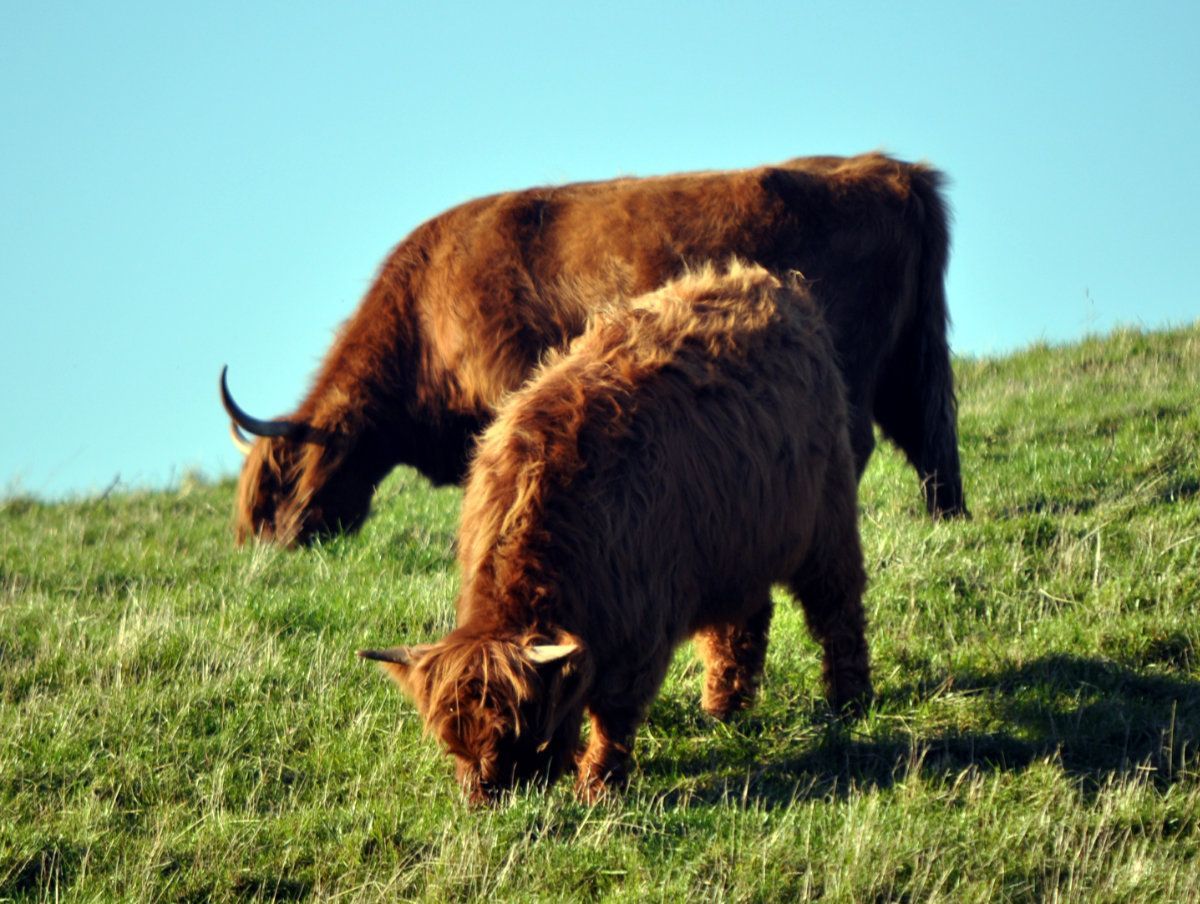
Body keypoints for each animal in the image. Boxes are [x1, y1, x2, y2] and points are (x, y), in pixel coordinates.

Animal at [222, 152, 967, 546]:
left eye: (279, 481)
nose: (265, 543)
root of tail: (893, 171)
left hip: (857, 367)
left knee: (864, 439)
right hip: (911, 359)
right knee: (931, 435)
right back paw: (946, 519)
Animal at [359, 263, 872, 802]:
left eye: (515, 732)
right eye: (451, 741)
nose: (484, 799)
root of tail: (771, 285)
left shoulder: (640, 627)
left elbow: (614, 715)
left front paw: (596, 785)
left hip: (827, 519)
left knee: (838, 606)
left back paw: (851, 699)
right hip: (735, 548)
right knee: (741, 621)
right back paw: (722, 710)